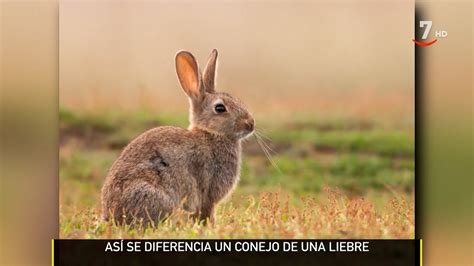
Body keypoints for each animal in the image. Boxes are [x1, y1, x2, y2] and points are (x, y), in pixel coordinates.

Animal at [100, 49, 256, 224]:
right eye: (220, 108)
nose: (250, 124)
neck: (212, 133)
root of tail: (112, 215)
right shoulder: (209, 192)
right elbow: (207, 212)